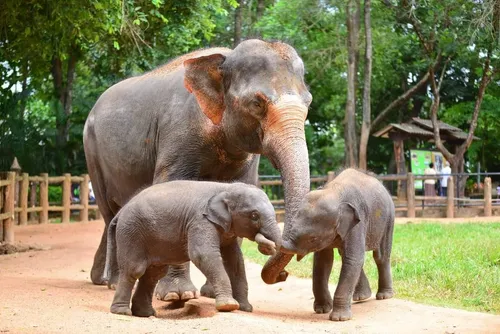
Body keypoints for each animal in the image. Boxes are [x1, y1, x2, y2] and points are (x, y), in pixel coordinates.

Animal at [83, 37, 310, 302]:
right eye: (257, 103)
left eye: (309, 103)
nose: (282, 275)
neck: (223, 59)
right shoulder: (179, 132)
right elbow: (173, 187)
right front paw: (177, 295)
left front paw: (210, 294)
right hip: (92, 151)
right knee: (108, 211)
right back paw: (113, 282)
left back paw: (100, 279)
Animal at [104, 181, 282, 318]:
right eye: (254, 215)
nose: (268, 247)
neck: (225, 187)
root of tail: (121, 211)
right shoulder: (200, 221)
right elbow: (202, 255)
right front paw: (228, 306)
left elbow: (235, 261)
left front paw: (245, 308)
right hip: (131, 232)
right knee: (135, 269)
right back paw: (122, 312)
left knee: (153, 274)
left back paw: (146, 314)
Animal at [270, 170, 394, 320]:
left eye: (313, 239)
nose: (283, 274)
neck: (334, 192)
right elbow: (324, 261)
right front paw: (322, 310)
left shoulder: (358, 223)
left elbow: (353, 259)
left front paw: (339, 318)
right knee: (348, 256)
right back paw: (361, 297)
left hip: (389, 219)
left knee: (380, 256)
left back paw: (384, 296)